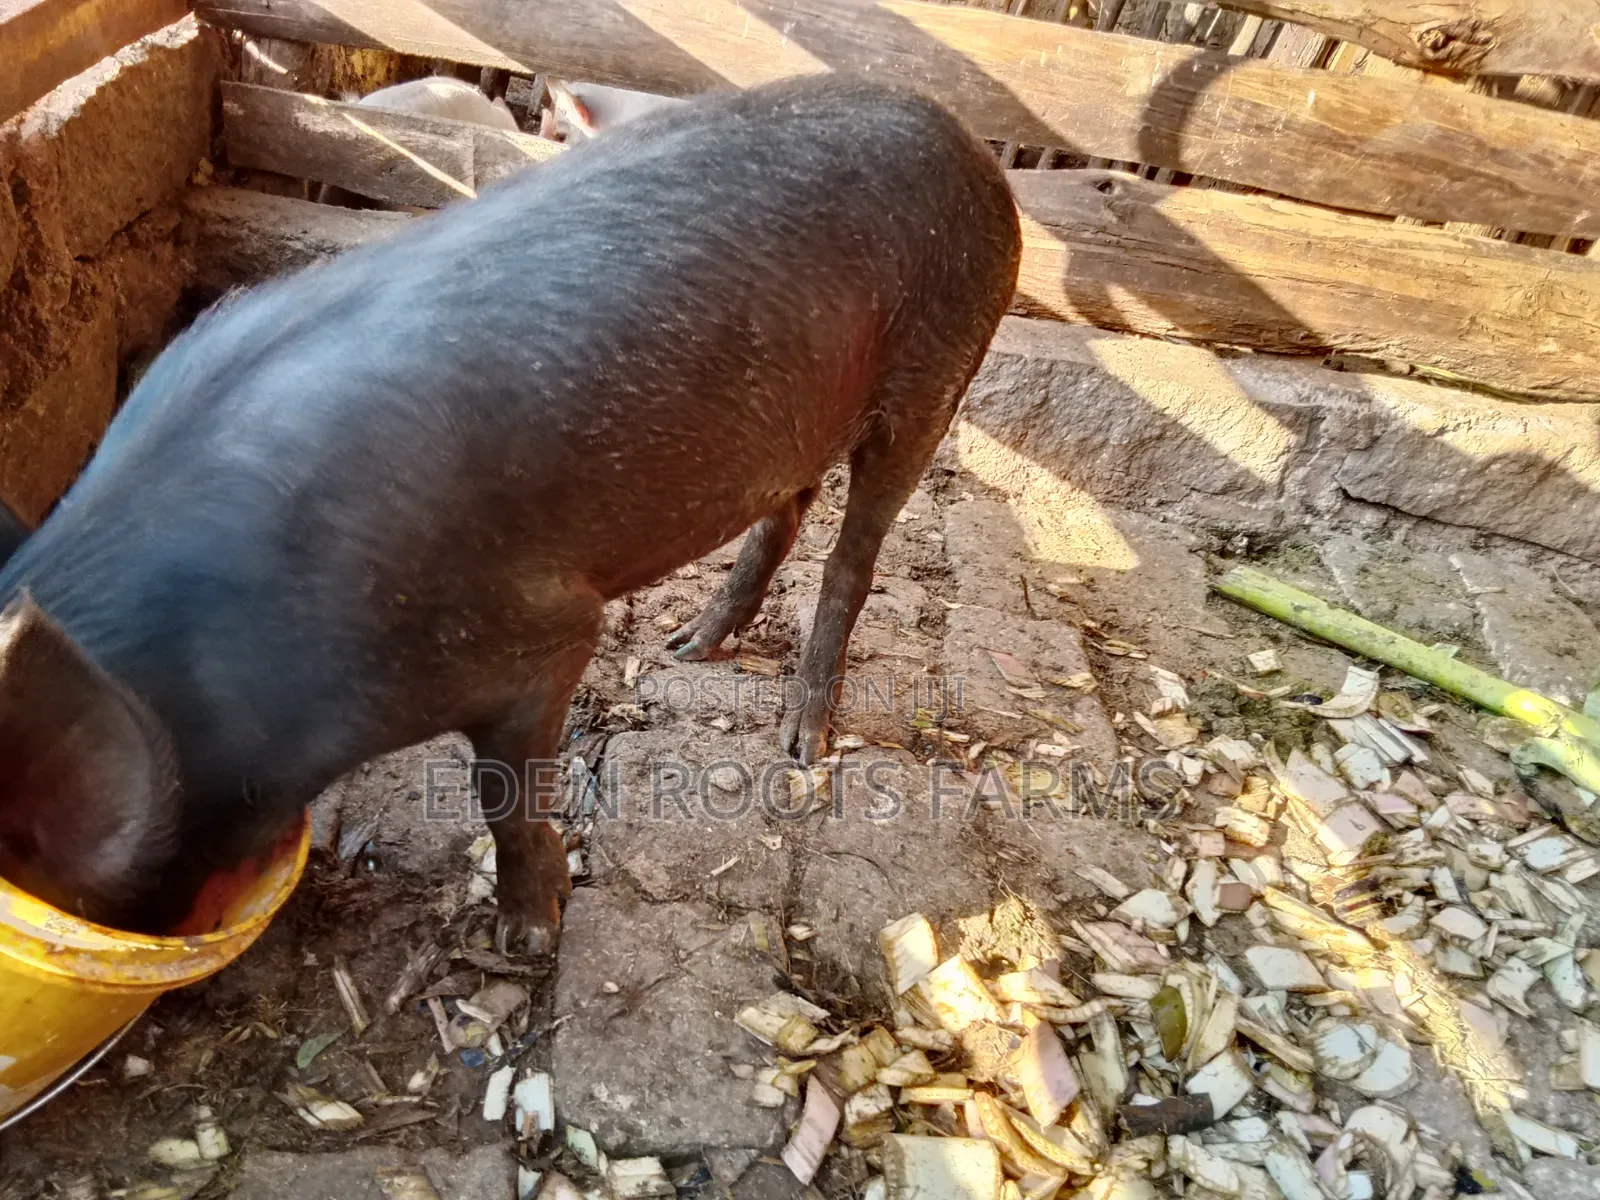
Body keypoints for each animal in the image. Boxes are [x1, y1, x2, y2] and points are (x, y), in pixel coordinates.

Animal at [0, 76, 1020, 953]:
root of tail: (971, 145)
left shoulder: (541, 635)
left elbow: (504, 785)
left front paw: (530, 935)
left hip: (938, 367)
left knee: (858, 546)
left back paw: (802, 743)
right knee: (786, 507)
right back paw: (688, 647)